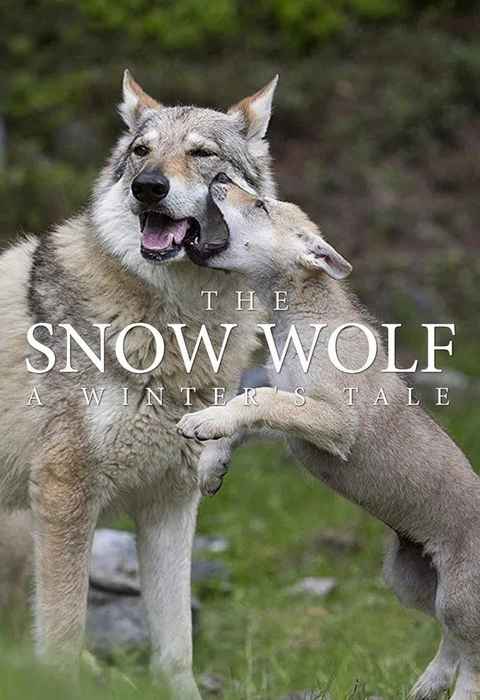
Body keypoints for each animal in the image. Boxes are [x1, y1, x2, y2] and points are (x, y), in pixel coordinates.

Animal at [0, 72, 278, 698]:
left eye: (202, 154)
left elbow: (176, 650)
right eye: (141, 151)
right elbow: (61, 640)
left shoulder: (171, 502)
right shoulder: (64, 496)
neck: (177, 326)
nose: (148, 187)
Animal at [178, 175, 480, 700]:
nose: (218, 178)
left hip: (460, 596)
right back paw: (428, 683)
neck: (299, 315)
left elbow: (252, 402)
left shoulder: (334, 421)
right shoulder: (290, 414)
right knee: (452, 640)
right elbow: (247, 410)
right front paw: (213, 466)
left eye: (260, 204)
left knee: (473, 656)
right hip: (411, 580)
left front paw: (204, 424)